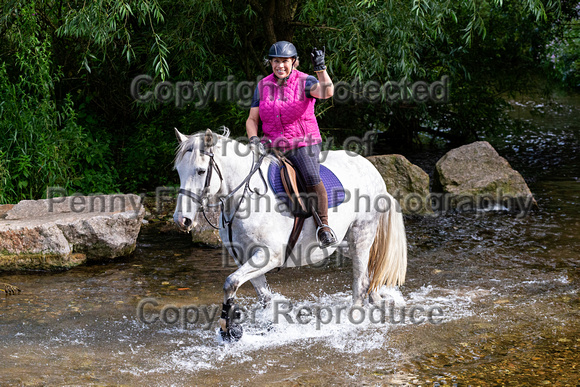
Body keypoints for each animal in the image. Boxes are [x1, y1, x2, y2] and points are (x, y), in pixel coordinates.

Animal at [173, 129, 408, 342]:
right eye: (178, 171)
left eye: (201, 171)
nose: (182, 220)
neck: (245, 197)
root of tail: (371, 168)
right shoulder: (245, 257)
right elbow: (263, 296)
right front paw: (270, 326)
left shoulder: (269, 256)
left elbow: (230, 282)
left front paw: (228, 328)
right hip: (346, 243)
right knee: (370, 268)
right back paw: (378, 299)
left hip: (361, 234)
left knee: (360, 280)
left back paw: (354, 317)